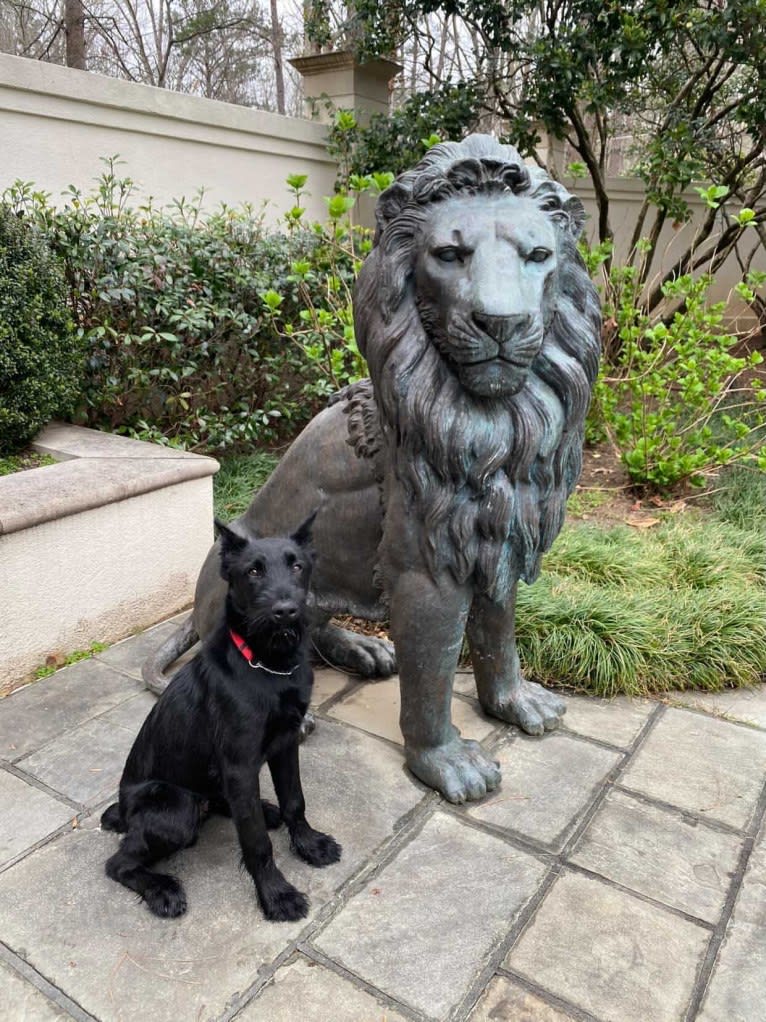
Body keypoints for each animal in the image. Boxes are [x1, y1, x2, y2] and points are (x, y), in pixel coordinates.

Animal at [100, 515, 341, 923]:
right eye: (253, 571)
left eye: (297, 566)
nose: (286, 610)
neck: (268, 666)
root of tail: (124, 809)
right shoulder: (240, 765)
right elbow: (257, 842)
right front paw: (276, 895)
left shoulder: (285, 744)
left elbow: (295, 800)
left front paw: (309, 844)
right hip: (176, 808)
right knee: (118, 864)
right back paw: (161, 890)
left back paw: (264, 809)